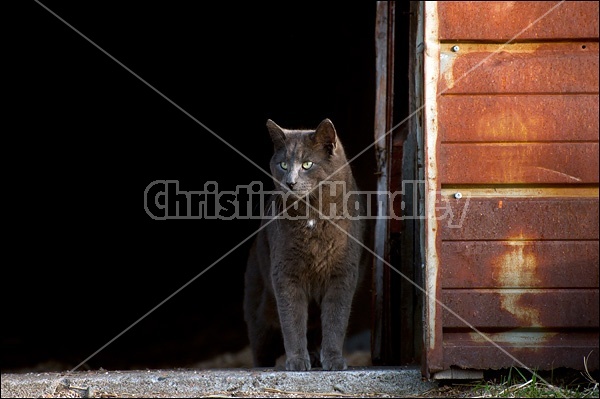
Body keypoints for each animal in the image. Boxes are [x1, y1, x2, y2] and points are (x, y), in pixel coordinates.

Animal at [243, 119, 366, 372]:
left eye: (307, 164)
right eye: (282, 164)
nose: (290, 182)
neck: (313, 215)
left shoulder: (343, 273)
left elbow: (336, 319)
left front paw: (334, 360)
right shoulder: (285, 272)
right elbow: (292, 318)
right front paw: (297, 361)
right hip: (257, 307)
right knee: (261, 343)